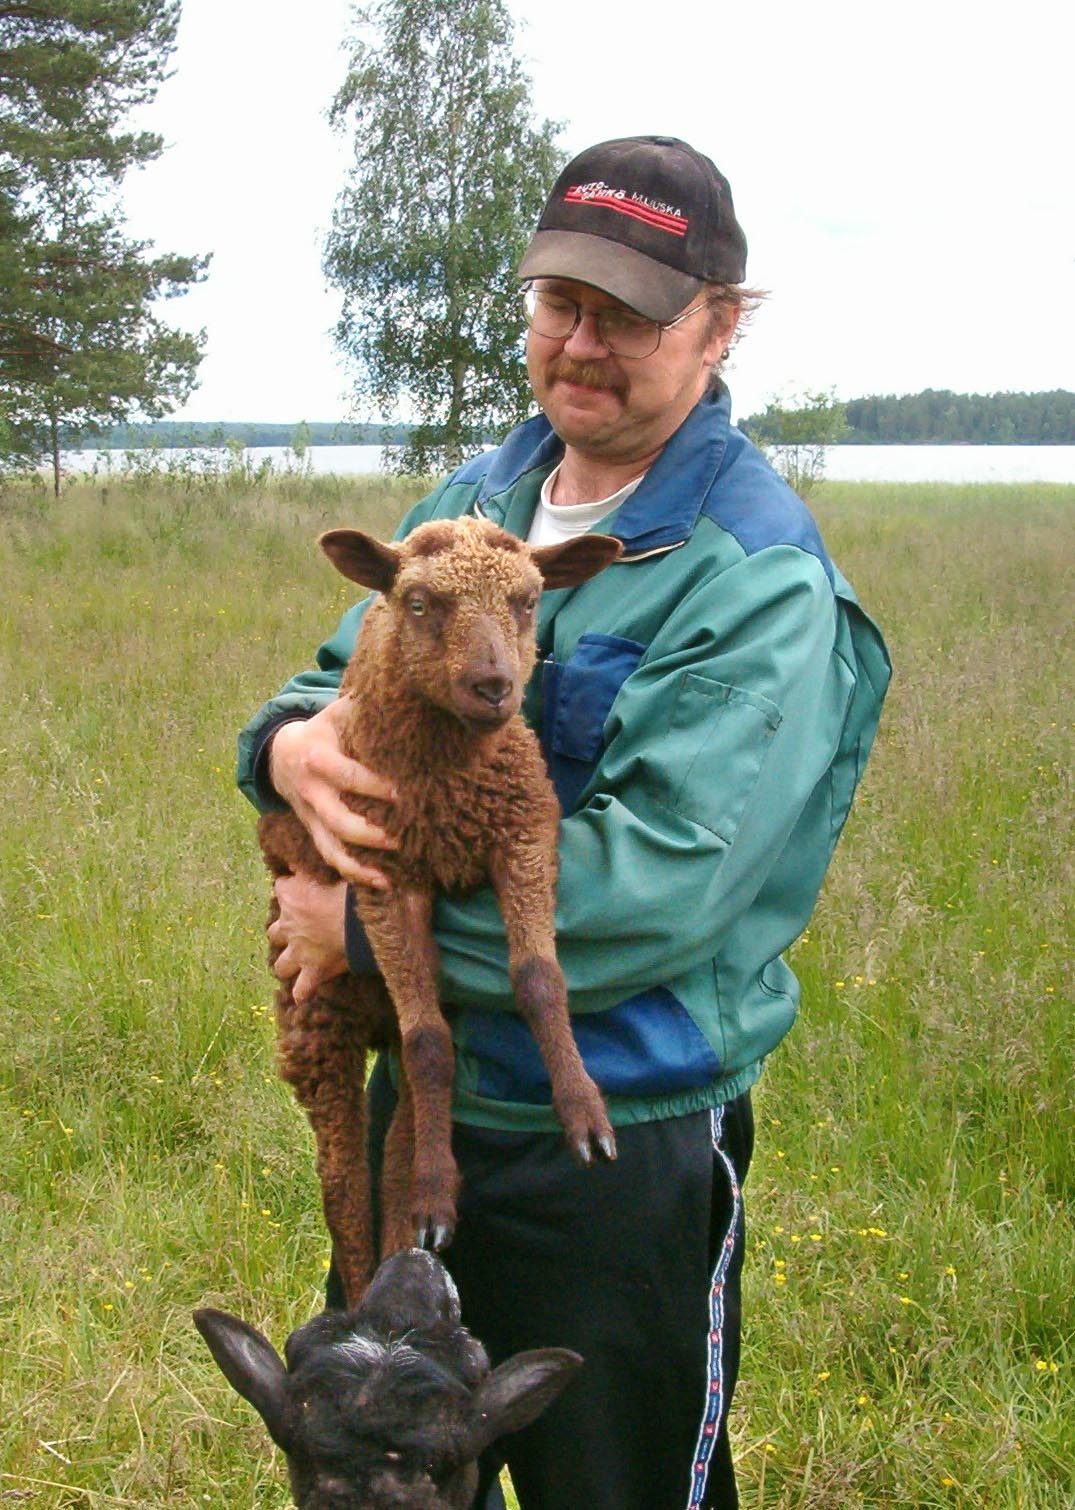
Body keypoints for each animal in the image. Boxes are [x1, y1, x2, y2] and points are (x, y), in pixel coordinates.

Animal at [259, 513, 622, 1304]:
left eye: (528, 600)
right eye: (420, 603)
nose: (494, 686)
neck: (450, 779)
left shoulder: (522, 833)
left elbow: (538, 980)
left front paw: (583, 1114)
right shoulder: (385, 876)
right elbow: (430, 1042)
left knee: (393, 1159)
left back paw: (411, 1240)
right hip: (315, 1026)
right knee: (344, 1185)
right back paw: (377, 1271)